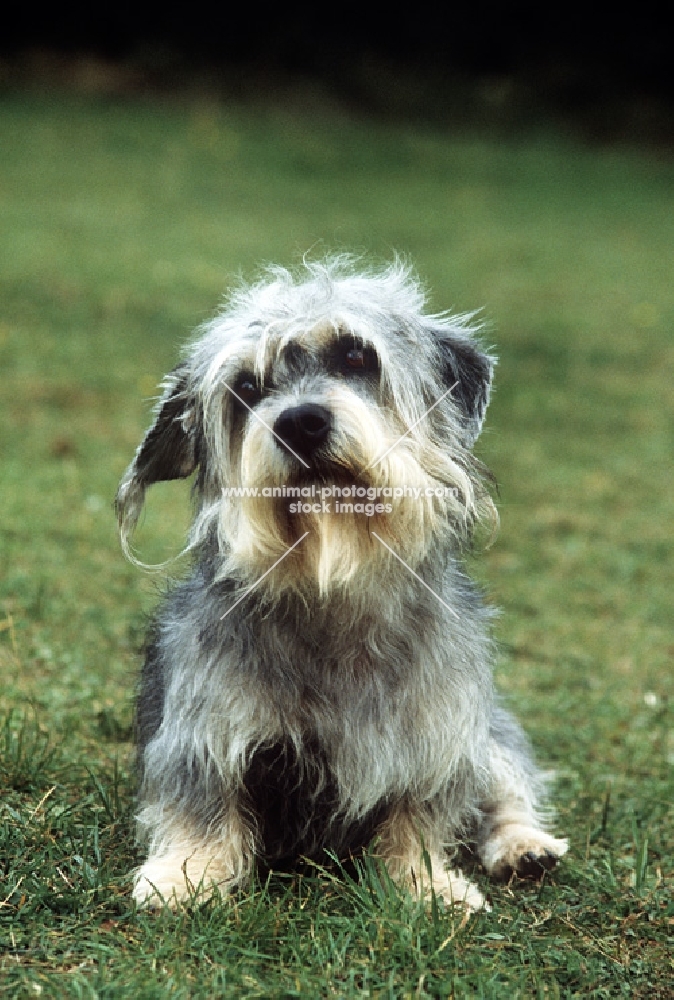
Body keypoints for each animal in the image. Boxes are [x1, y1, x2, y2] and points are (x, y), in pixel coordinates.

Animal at [117, 254, 568, 912]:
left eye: (357, 356)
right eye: (247, 388)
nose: (300, 422)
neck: (332, 586)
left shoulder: (440, 730)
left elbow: (419, 814)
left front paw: (425, 883)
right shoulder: (205, 725)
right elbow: (203, 801)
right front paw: (187, 873)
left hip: (493, 736)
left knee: (505, 792)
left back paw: (524, 846)